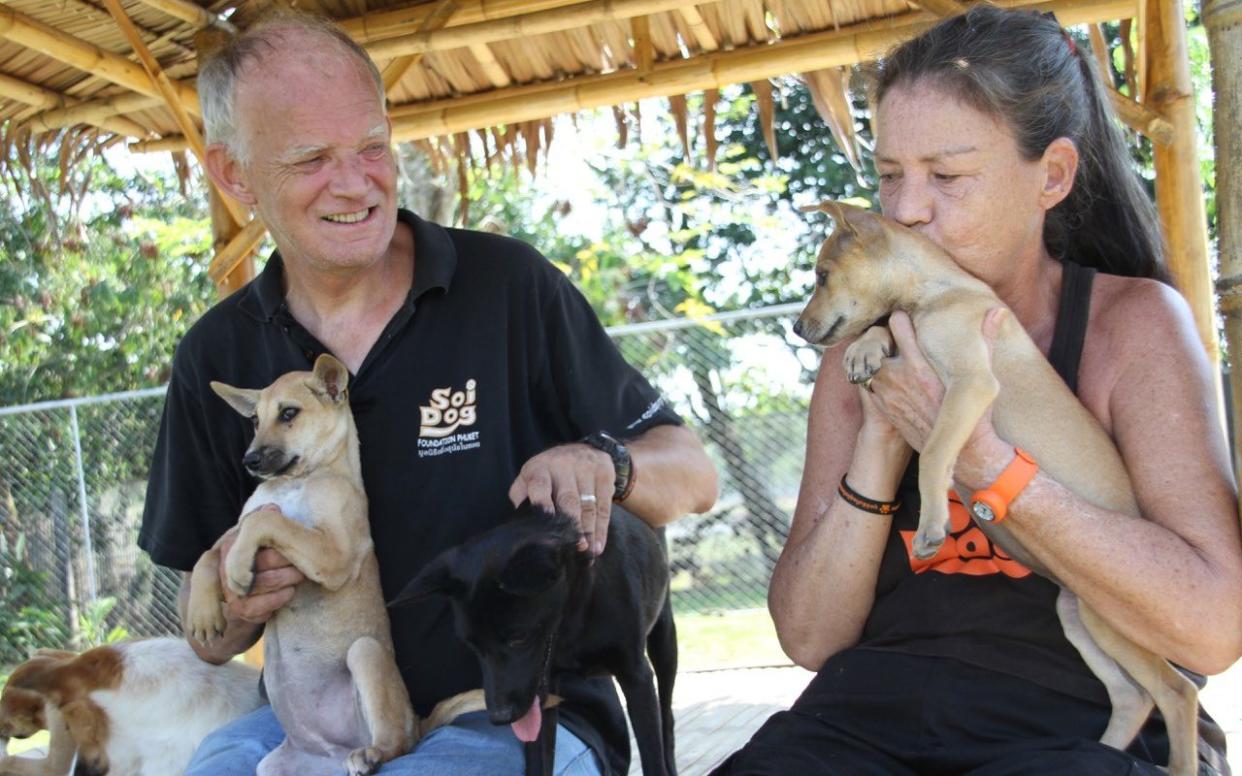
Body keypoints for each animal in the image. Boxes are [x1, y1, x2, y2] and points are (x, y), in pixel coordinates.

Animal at [185, 355, 417, 774]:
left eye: (289, 413)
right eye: (255, 420)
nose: (249, 460)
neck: (296, 481)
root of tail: (331, 754)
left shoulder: (334, 553)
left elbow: (268, 522)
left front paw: (239, 567)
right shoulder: (233, 529)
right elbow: (207, 554)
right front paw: (203, 612)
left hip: (365, 653)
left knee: (400, 740)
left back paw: (373, 754)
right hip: (269, 767)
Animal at [389, 501, 675, 774]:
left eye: (518, 638)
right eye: (472, 645)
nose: (500, 718)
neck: (573, 622)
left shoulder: (637, 677)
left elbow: (653, 757)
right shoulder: (543, 696)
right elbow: (538, 760)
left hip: (665, 642)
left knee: (666, 717)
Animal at [794, 201, 1202, 774]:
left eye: (821, 275)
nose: (796, 326)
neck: (937, 292)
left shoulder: (971, 383)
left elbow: (935, 452)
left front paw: (933, 526)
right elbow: (886, 327)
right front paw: (866, 350)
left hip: (1113, 623)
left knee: (1175, 691)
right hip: (1079, 618)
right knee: (1133, 696)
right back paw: (1102, 746)